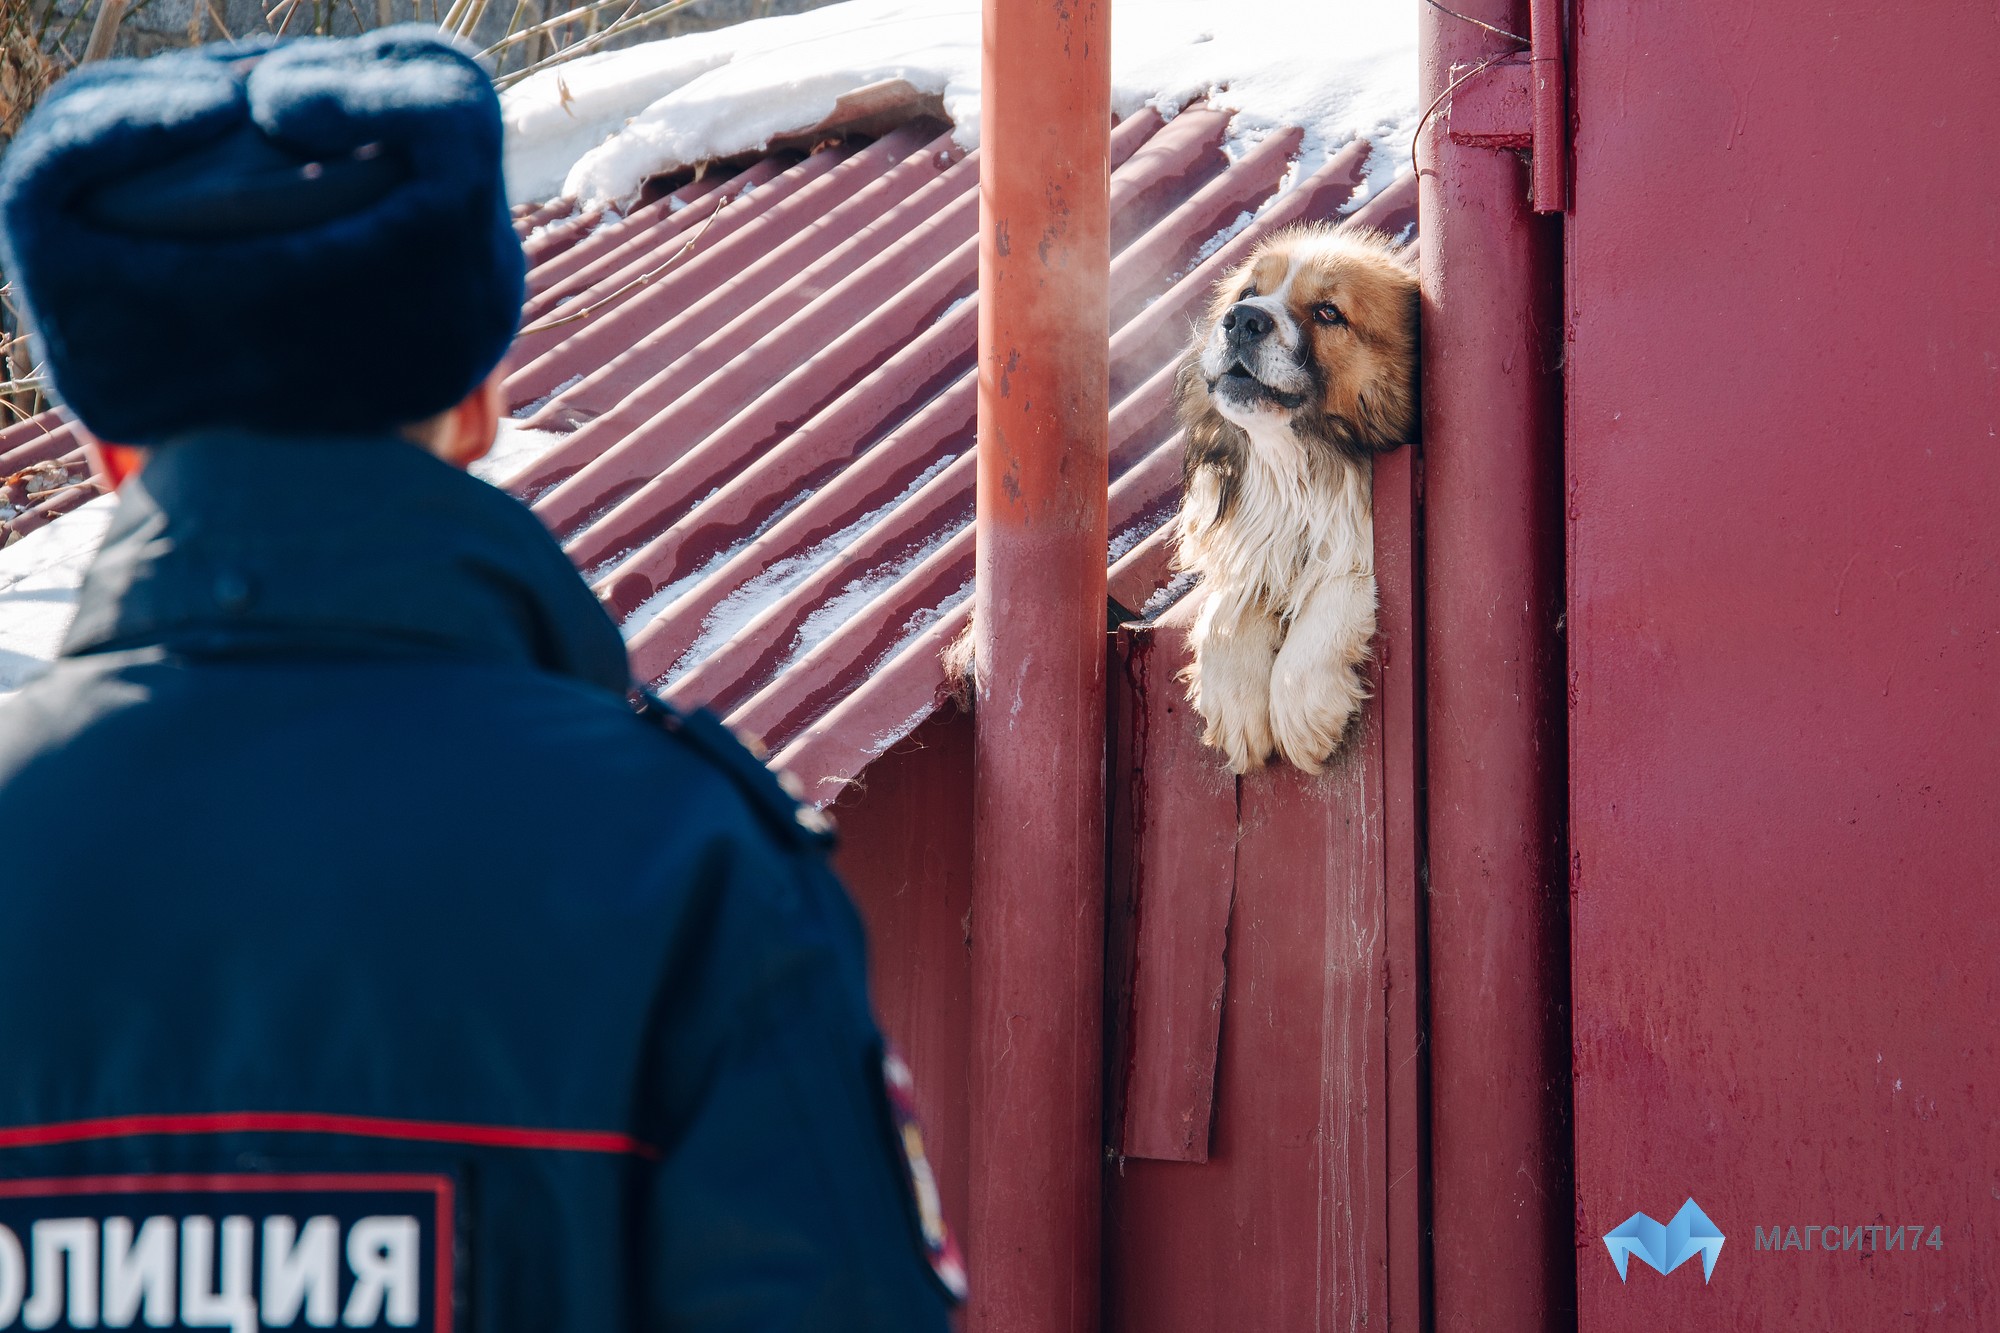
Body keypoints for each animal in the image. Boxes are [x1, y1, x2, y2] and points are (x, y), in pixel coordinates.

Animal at [1168, 224, 1424, 772]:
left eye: (1329, 312)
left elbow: (1345, 578)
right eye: (1247, 292)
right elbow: (1230, 602)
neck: (1300, 474)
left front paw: (1300, 706)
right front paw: (1234, 702)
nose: (1243, 319)